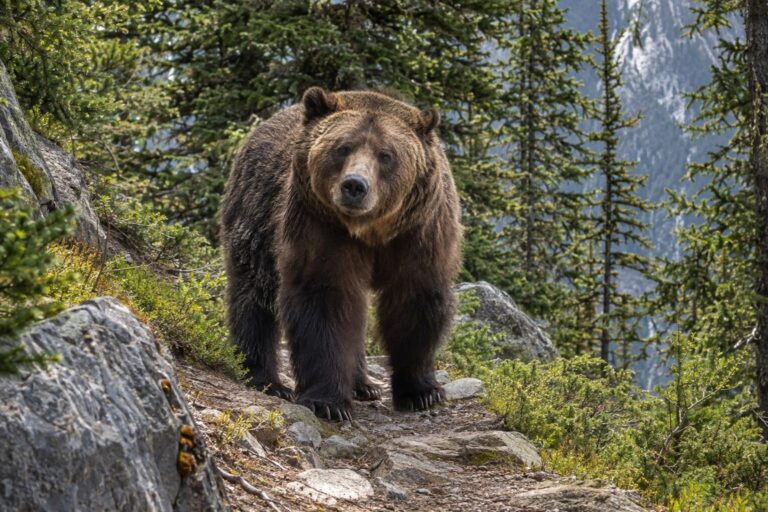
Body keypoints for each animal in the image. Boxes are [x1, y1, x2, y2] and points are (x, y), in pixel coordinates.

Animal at [220, 87, 462, 420]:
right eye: (343, 148)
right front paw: (329, 402)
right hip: (256, 214)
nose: (355, 186)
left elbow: (415, 299)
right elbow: (325, 298)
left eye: (386, 155)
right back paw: (265, 378)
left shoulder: (420, 231)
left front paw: (422, 392)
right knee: (254, 294)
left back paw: (364, 384)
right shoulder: (320, 225)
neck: (371, 231)